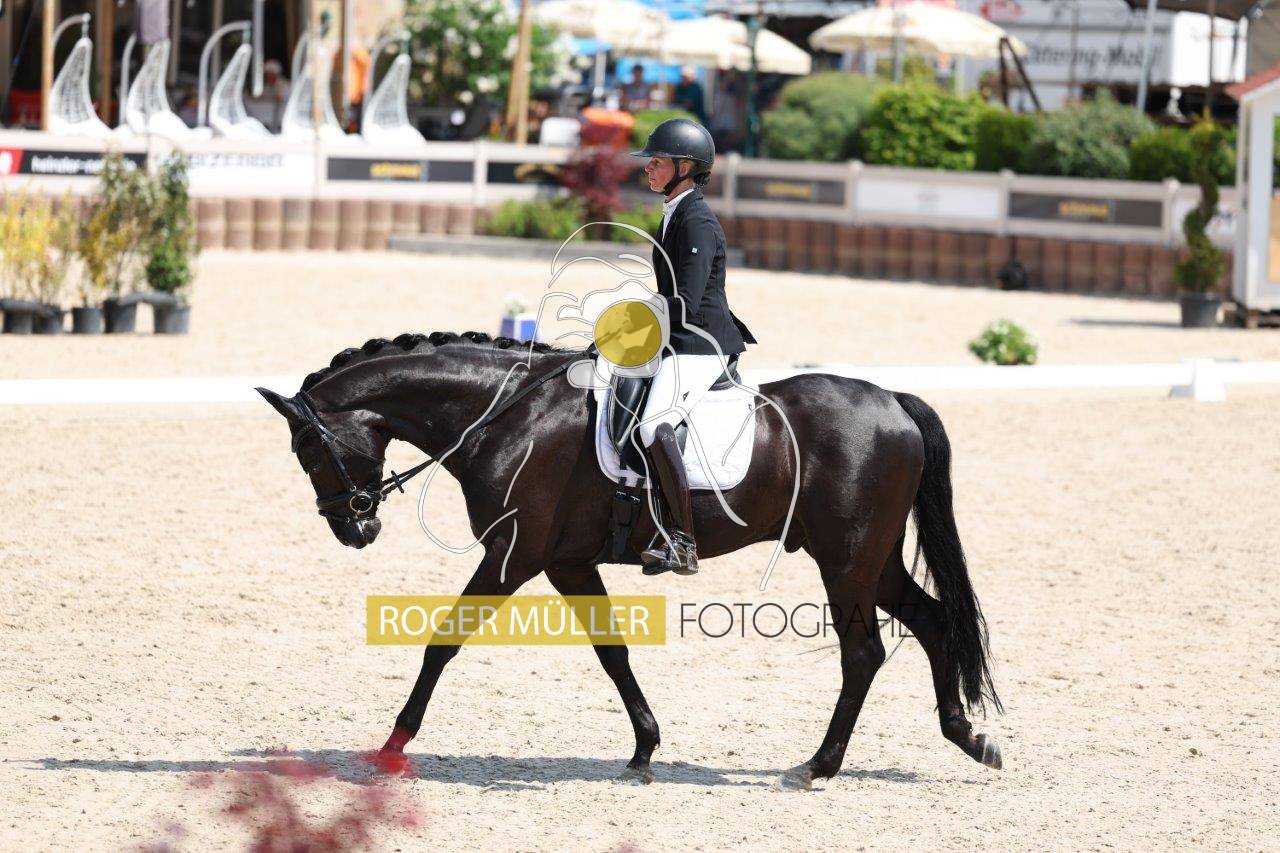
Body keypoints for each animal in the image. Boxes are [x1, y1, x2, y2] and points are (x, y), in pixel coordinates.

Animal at [257, 330, 1003, 790]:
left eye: (309, 449)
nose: (355, 528)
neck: (508, 416)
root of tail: (893, 401)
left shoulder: (513, 554)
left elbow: (444, 640)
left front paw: (393, 744)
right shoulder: (565, 562)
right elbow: (611, 650)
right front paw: (645, 747)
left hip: (846, 560)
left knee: (864, 653)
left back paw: (819, 765)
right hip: (869, 559)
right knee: (933, 622)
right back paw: (968, 736)